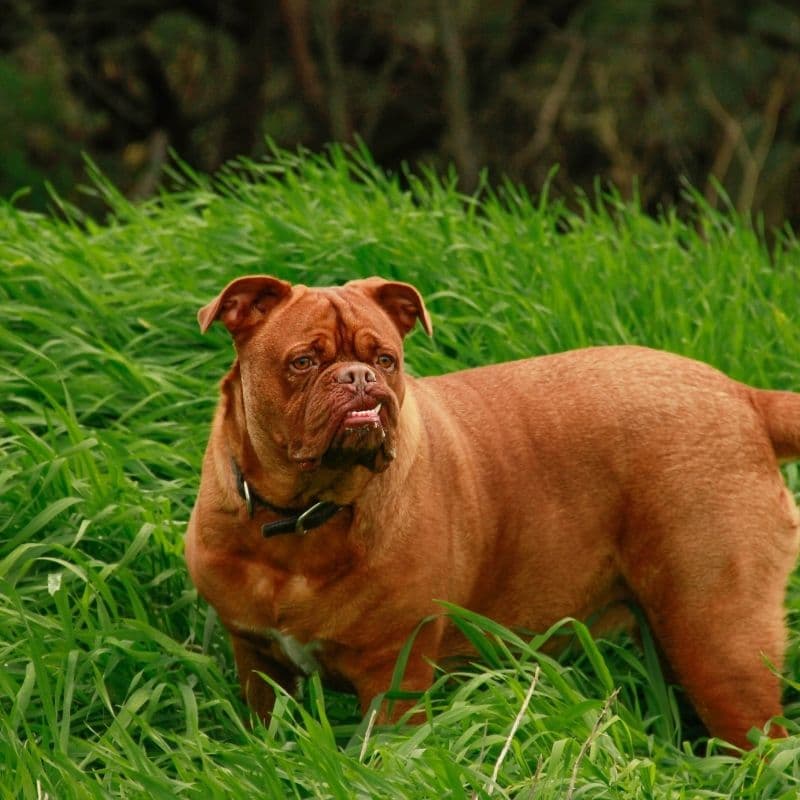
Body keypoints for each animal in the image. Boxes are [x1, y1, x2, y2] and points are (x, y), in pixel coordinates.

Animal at [186, 276, 800, 752]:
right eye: (303, 361)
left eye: (386, 359)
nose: (360, 376)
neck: (302, 518)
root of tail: (743, 396)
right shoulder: (258, 662)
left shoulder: (394, 676)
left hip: (718, 638)